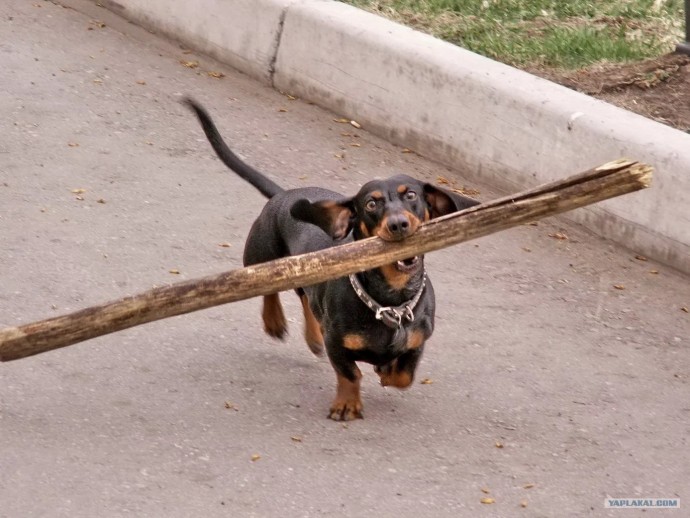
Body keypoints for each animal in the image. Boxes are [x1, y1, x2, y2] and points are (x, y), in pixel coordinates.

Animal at [184, 98, 478, 422]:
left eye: (411, 195)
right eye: (371, 204)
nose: (398, 224)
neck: (391, 297)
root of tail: (283, 194)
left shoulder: (417, 342)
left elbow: (403, 375)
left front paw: (385, 369)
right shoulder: (336, 343)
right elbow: (350, 374)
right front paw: (347, 404)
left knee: (305, 298)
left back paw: (312, 337)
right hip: (261, 257)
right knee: (269, 287)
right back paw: (274, 321)